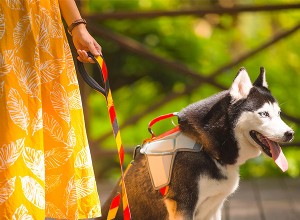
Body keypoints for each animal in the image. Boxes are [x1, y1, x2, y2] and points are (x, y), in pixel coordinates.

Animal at [99, 68, 294, 219]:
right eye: (264, 114)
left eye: (279, 113)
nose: (291, 133)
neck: (204, 147)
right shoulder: (183, 206)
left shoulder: (214, 207)